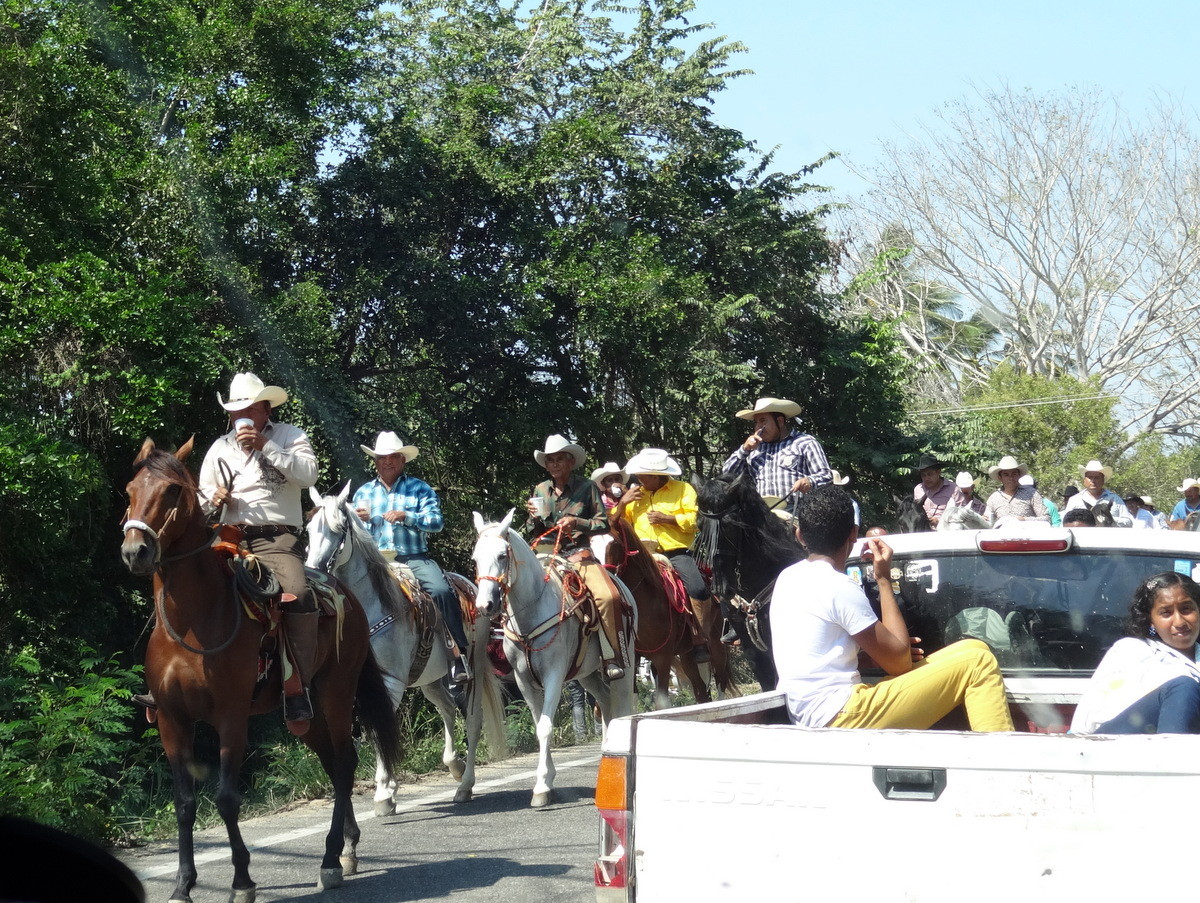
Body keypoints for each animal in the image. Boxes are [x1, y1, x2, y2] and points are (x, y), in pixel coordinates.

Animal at [123, 439, 403, 903]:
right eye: (130, 489)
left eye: (172, 491)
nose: (135, 551)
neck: (192, 620)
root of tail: (346, 595)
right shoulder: (172, 720)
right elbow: (185, 802)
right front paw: (182, 884)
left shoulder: (231, 717)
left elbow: (226, 798)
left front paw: (242, 880)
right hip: (305, 712)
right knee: (332, 763)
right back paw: (347, 848)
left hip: (336, 693)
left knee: (345, 762)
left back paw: (331, 859)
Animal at [307, 487, 508, 811]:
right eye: (310, 529)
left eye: (339, 529)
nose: (313, 572)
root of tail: (472, 587)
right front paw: (388, 787)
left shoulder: (390, 683)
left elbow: (380, 729)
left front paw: (383, 792)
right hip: (431, 679)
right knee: (447, 708)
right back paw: (454, 765)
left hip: (474, 670)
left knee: (473, 720)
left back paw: (465, 784)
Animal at [470, 511, 638, 806]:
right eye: (475, 558)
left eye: (502, 555)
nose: (485, 605)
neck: (531, 610)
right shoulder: (524, 680)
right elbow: (539, 725)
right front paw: (547, 780)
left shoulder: (553, 676)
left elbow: (545, 728)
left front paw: (540, 787)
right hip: (588, 674)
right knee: (605, 703)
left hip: (624, 669)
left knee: (620, 706)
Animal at [604, 521, 734, 706]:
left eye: (614, 543)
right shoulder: (634, 661)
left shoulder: (662, 658)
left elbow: (661, 702)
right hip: (687, 655)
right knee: (701, 690)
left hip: (717, 646)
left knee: (720, 683)